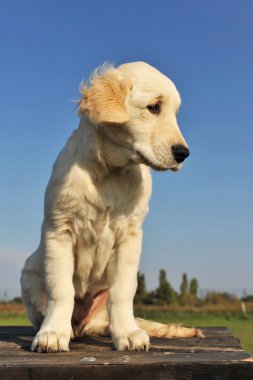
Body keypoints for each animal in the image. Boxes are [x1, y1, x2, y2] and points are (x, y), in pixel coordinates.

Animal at [20, 60, 204, 352]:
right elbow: (61, 290)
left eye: (175, 112)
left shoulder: (130, 236)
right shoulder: (59, 230)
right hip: (28, 272)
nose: (183, 154)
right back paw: (67, 329)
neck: (111, 172)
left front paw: (127, 333)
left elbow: (123, 291)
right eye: (154, 107)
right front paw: (52, 334)